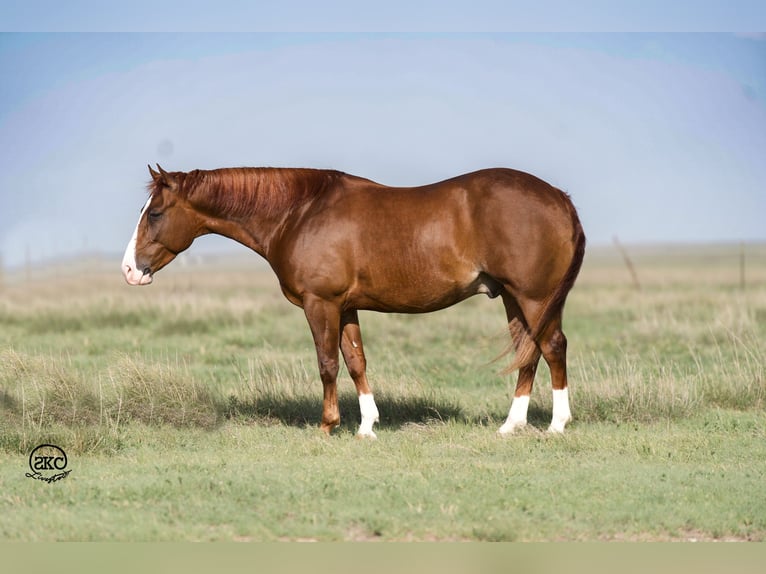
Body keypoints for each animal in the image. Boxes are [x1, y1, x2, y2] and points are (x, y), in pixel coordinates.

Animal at [121, 164, 588, 438]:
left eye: (155, 213)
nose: (129, 270)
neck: (299, 212)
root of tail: (559, 197)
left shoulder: (321, 303)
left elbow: (328, 363)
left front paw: (328, 425)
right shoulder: (345, 307)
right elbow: (356, 361)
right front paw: (367, 426)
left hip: (533, 296)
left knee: (552, 347)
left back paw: (557, 425)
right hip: (515, 298)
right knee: (528, 352)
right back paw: (511, 425)